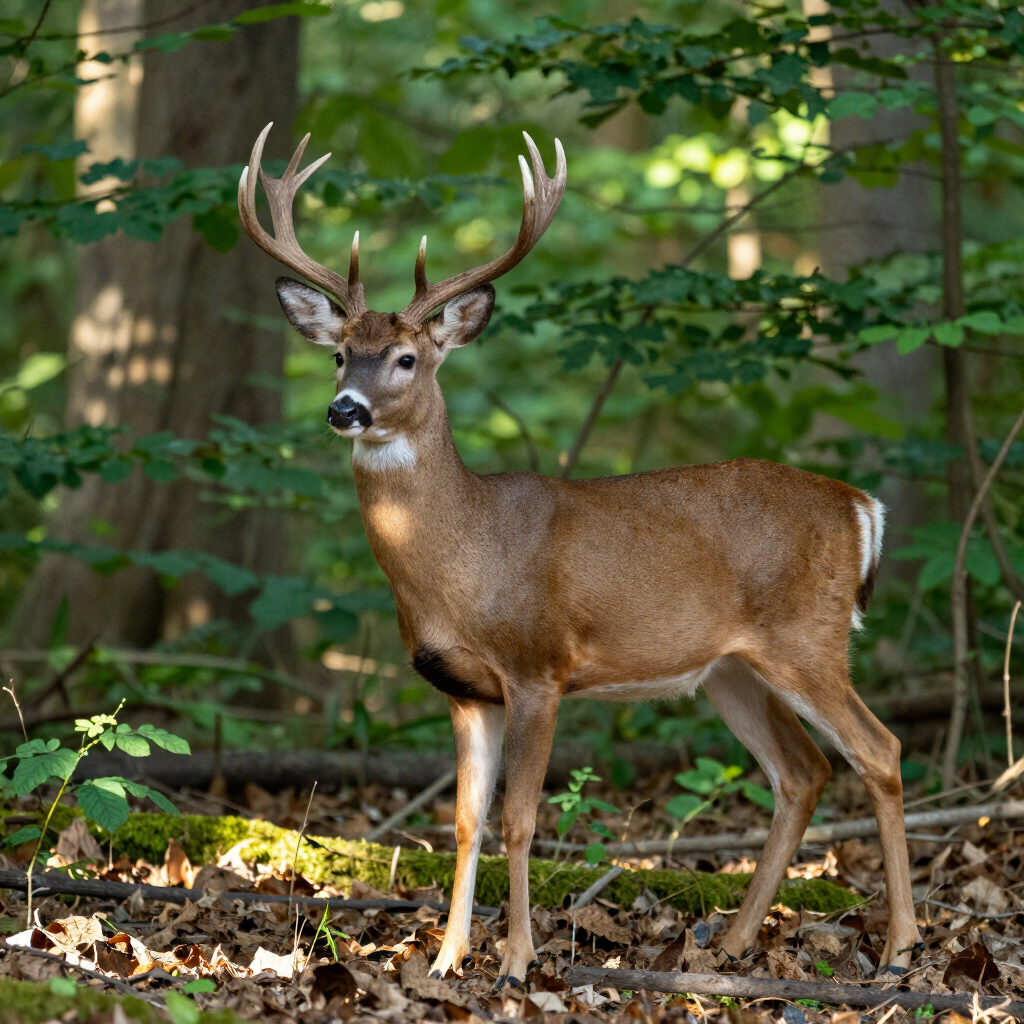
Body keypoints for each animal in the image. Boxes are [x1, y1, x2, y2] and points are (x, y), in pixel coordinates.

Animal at [238, 123, 920, 989]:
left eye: (407, 358)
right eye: (338, 354)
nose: (345, 409)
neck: (463, 558)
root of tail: (862, 508)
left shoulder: (539, 666)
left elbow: (520, 820)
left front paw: (515, 963)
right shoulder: (464, 690)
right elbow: (465, 823)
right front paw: (446, 960)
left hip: (809, 636)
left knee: (879, 750)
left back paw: (902, 947)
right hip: (730, 667)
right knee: (803, 772)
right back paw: (734, 944)